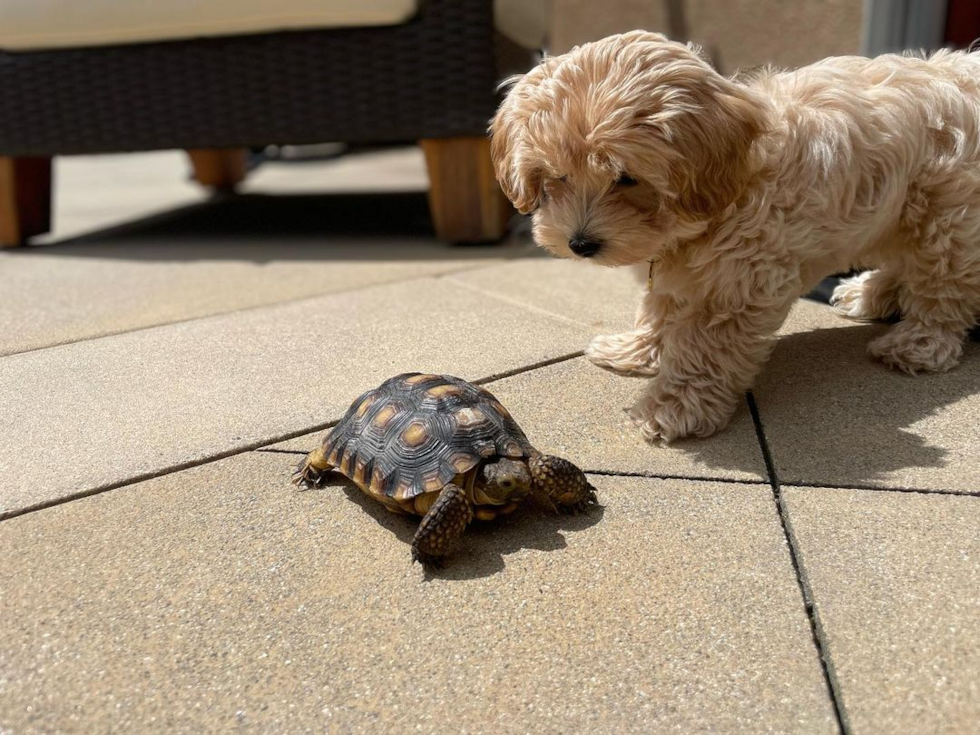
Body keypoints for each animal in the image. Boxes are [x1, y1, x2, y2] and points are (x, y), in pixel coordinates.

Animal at [494, 30, 980, 442]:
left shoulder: (740, 283)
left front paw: (673, 406)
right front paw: (637, 350)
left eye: (626, 177)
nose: (580, 244)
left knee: (944, 283)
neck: (733, 184)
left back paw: (919, 342)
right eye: (558, 176)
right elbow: (660, 306)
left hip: (948, 216)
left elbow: (705, 346)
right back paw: (872, 293)